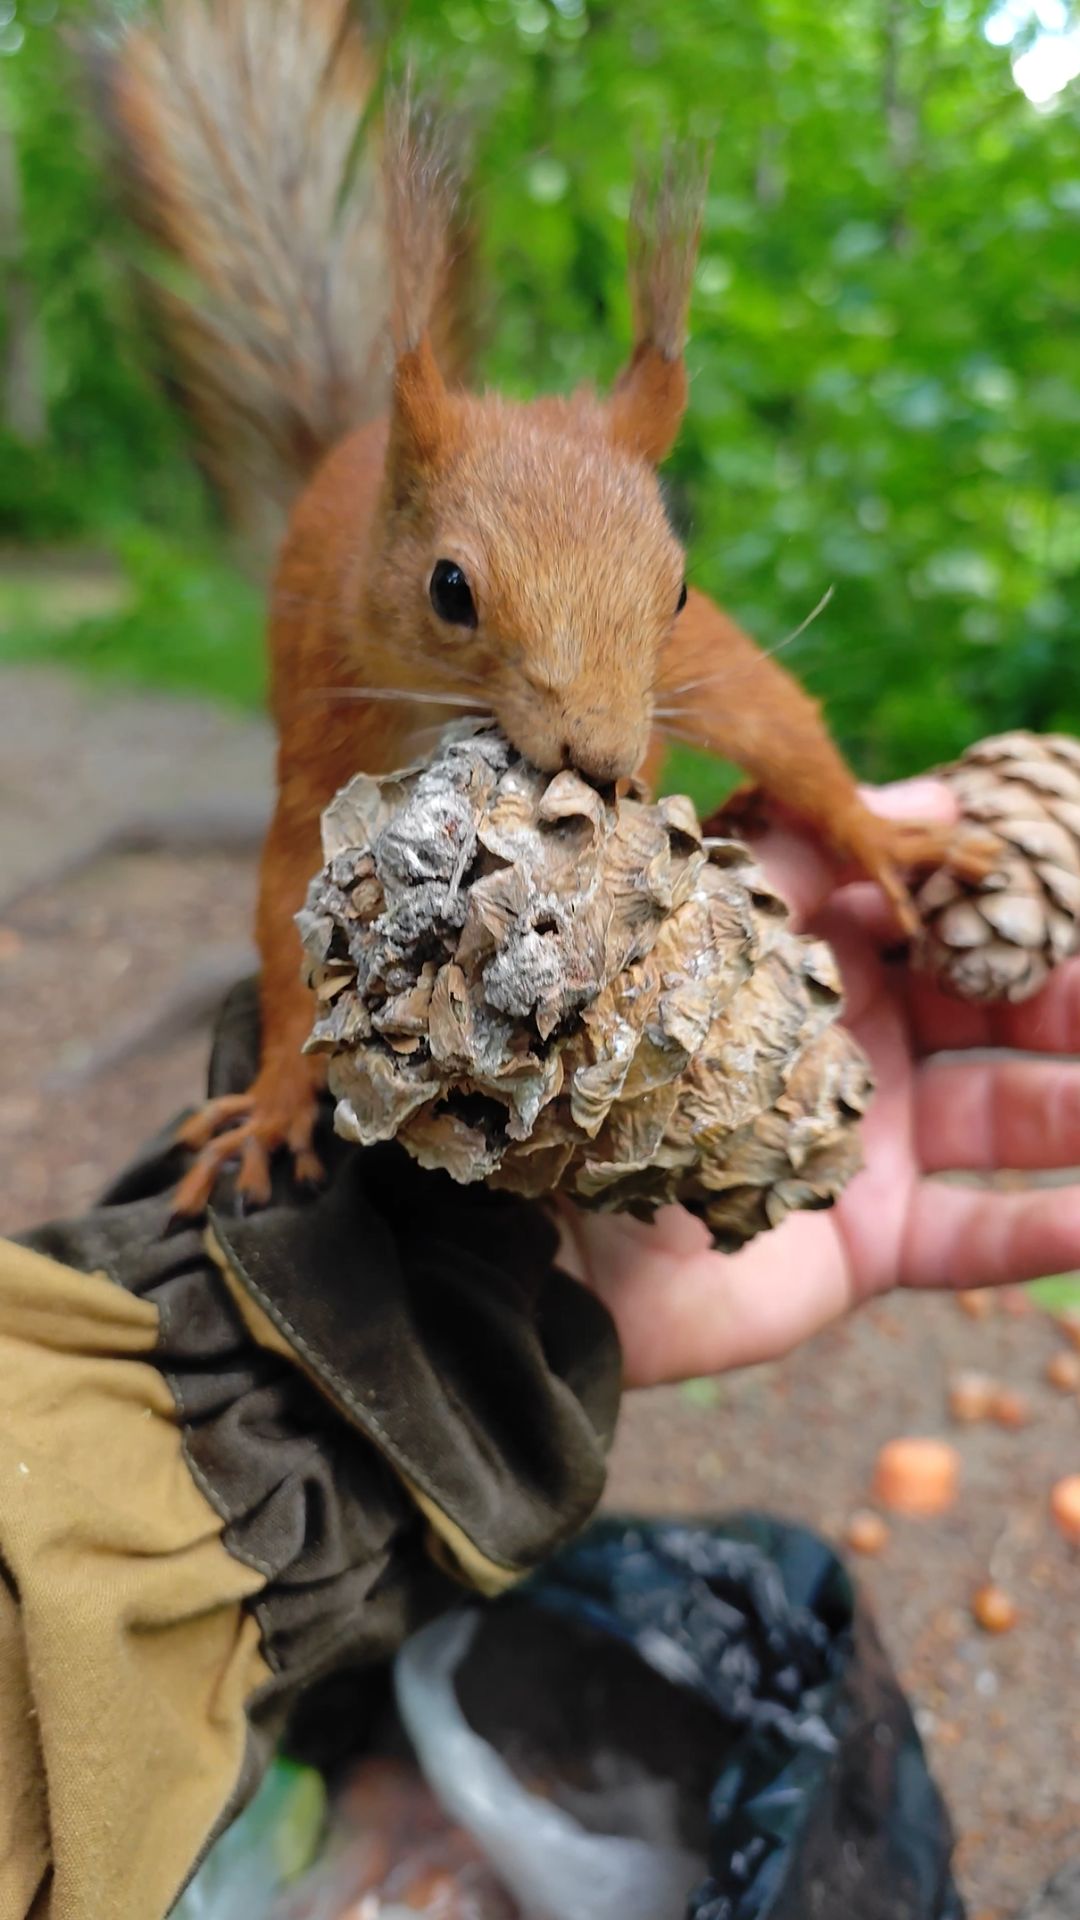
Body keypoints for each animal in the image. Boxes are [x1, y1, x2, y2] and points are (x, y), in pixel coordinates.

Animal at [100, 0, 988, 1215]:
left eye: (678, 585)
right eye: (449, 589)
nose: (604, 760)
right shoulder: (330, 708)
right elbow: (285, 892)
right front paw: (277, 1102)